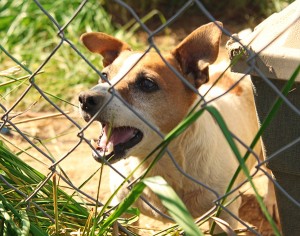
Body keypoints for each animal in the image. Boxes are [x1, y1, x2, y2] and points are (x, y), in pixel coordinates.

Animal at [78, 21, 276, 230]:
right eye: (103, 75)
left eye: (147, 83)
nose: (85, 99)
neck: (158, 163)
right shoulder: (123, 212)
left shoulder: (224, 217)